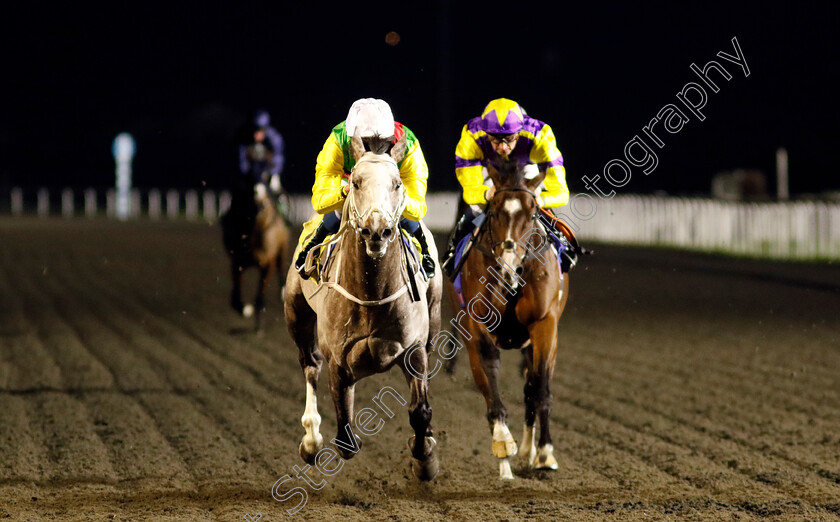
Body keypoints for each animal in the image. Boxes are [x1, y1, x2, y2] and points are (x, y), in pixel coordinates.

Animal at [221, 181, 290, 330]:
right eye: (239, 204)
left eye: (263, 205)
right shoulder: (238, 263)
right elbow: (235, 299)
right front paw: (245, 309)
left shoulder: (268, 263)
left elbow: (260, 298)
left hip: (282, 249)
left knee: (282, 267)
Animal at [284, 134, 442, 480]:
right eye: (355, 182)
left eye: (397, 183)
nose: (377, 230)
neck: (372, 293)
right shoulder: (338, 359)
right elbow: (345, 438)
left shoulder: (414, 349)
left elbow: (421, 410)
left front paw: (424, 456)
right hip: (295, 313)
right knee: (309, 365)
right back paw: (310, 440)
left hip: (435, 317)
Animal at [452, 159, 572, 480]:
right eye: (493, 211)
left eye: (531, 214)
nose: (508, 265)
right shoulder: (477, 327)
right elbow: (491, 387)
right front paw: (504, 448)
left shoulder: (545, 325)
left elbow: (540, 389)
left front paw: (544, 453)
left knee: (533, 388)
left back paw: (534, 449)